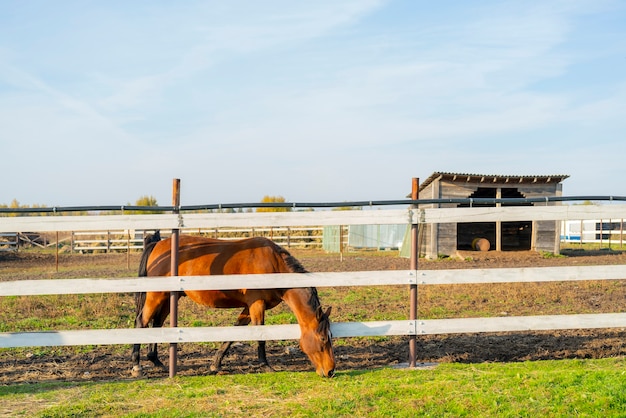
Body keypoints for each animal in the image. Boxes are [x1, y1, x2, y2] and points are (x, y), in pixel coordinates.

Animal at [129, 233, 334, 378]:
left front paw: (216, 364)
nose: (331, 371)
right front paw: (266, 365)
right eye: (323, 339)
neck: (274, 265)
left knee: (157, 323)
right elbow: (260, 335)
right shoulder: (257, 305)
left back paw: (156, 361)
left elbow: (234, 333)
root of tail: (158, 245)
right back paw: (136, 365)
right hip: (156, 296)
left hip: (169, 298)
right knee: (141, 322)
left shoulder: (249, 307)